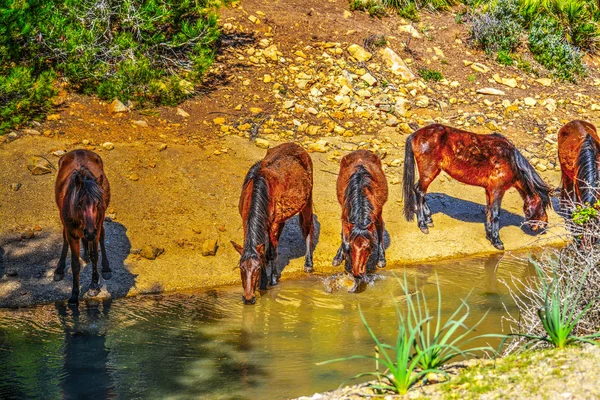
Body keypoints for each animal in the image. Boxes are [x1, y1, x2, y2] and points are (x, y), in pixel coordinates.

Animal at [54, 150, 112, 304]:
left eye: (98, 203)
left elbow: (95, 255)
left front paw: (94, 286)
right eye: (79, 203)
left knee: (102, 238)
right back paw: (59, 269)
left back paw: (106, 268)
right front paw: (74, 295)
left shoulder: (96, 228)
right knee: (65, 240)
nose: (90, 232)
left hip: (99, 226)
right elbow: (75, 264)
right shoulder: (72, 233)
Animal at [230, 142, 314, 304]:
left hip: (307, 201)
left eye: (256, 269)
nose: (248, 298)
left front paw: (272, 279)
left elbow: (273, 252)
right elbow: (261, 249)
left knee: (307, 229)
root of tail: (297, 146)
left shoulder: (274, 224)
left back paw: (308, 264)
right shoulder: (245, 221)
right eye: (241, 268)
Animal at [332, 149, 390, 290]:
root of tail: (361, 150)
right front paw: (343, 260)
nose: (357, 274)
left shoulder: (377, 215)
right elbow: (345, 240)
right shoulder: (345, 217)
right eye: (351, 249)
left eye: (368, 248)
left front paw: (381, 259)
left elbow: (380, 231)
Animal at [400, 124, 552, 250]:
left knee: (419, 191)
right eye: (543, 206)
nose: (544, 225)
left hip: (433, 172)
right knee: (419, 191)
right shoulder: (497, 190)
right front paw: (497, 241)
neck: (510, 160)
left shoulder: (489, 190)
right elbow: (495, 214)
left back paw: (428, 218)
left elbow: (489, 211)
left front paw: (490, 235)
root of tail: (416, 134)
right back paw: (423, 224)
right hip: (428, 172)